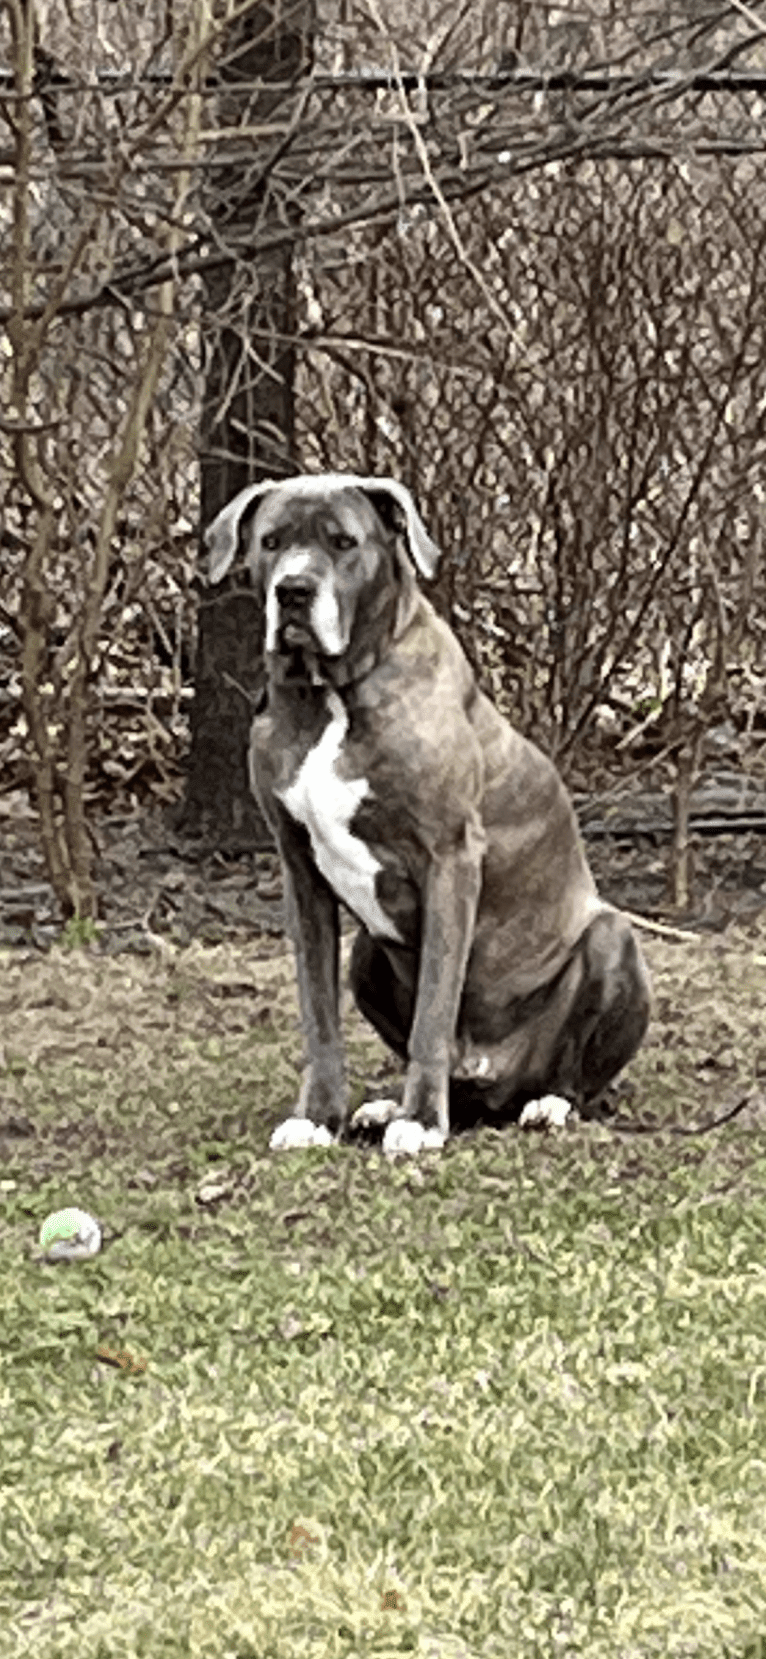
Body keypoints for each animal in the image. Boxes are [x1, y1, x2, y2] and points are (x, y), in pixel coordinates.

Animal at [206, 474, 649, 1161]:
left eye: (343, 542)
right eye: (271, 541)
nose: (294, 590)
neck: (332, 694)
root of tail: (494, 1086)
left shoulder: (449, 860)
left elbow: (434, 1011)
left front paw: (419, 1120)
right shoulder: (300, 871)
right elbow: (318, 1015)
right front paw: (318, 1116)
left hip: (612, 939)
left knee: (579, 1075)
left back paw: (546, 1104)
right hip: (366, 953)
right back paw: (388, 1106)